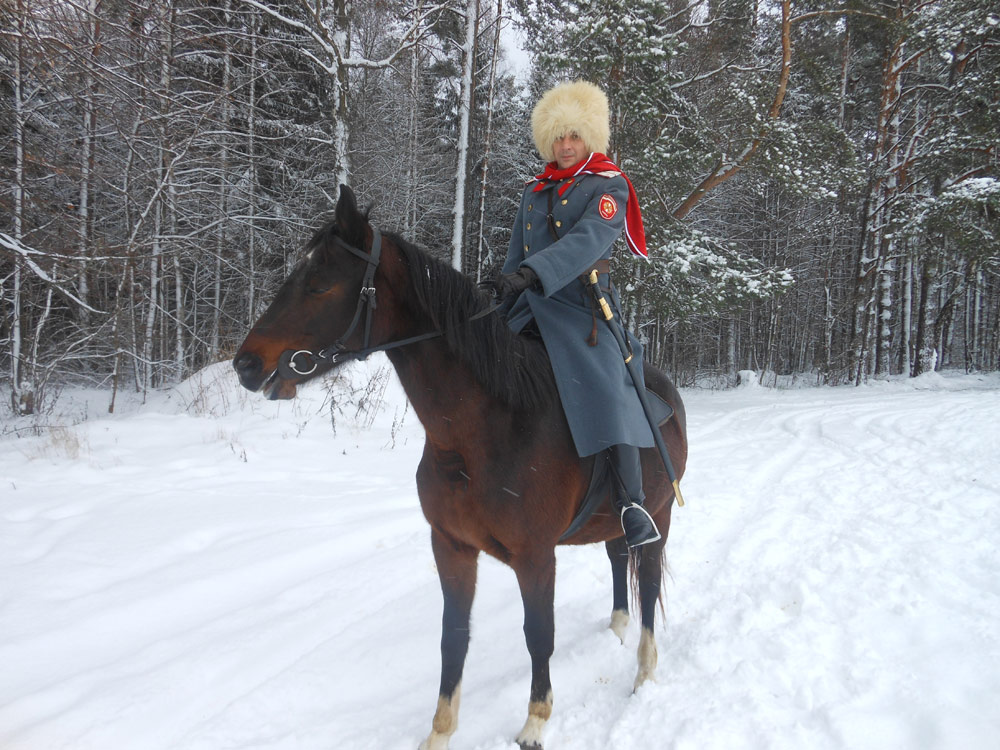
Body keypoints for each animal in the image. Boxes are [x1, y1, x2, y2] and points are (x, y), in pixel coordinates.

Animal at [232, 185, 688, 748]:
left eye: (319, 284)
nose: (246, 364)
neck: (479, 435)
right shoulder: (450, 546)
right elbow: (454, 638)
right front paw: (440, 732)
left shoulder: (535, 557)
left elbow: (539, 635)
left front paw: (535, 721)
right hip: (612, 520)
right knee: (618, 558)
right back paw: (617, 629)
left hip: (660, 515)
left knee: (647, 581)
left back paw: (644, 671)